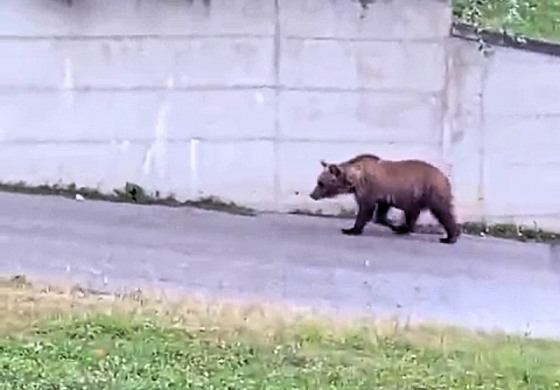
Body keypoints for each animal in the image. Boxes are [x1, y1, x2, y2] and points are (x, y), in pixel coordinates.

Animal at [308, 153, 462, 242]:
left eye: (320, 183)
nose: (312, 194)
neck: (353, 179)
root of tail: (445, 177)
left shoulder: (369, 190)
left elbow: (365, 210)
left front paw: (351, 230)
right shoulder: (384, 196)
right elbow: (380, 214)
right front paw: (393, 224)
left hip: (431, 191)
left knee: (443, 212)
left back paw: (450, 236)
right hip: (416, 197)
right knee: (412, 214)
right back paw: (404, 228)